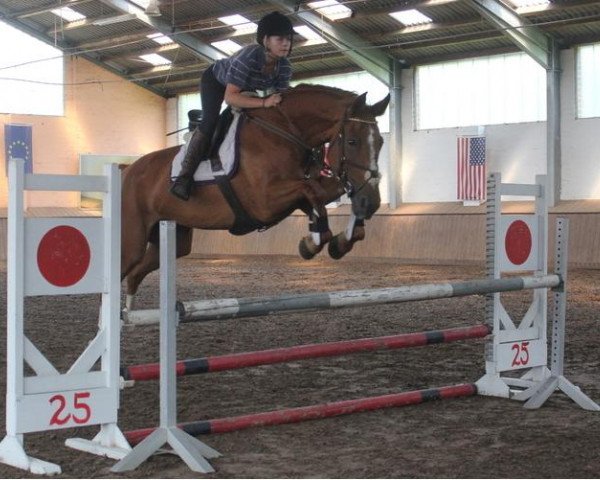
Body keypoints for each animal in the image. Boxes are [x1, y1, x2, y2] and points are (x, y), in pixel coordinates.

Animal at [122, 84, 390, 310]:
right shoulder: (264, 203)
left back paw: (128, 312)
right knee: (125, 268)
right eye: (353, 141)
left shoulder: (299, 193)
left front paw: (341, 240)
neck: (285, 132)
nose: (372, 203)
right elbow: (311, 192)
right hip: (132, 241)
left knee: (135, 273)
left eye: (380, 142)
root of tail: (128, 171)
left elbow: (320, 195)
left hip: (175, 239)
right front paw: (313, 243)